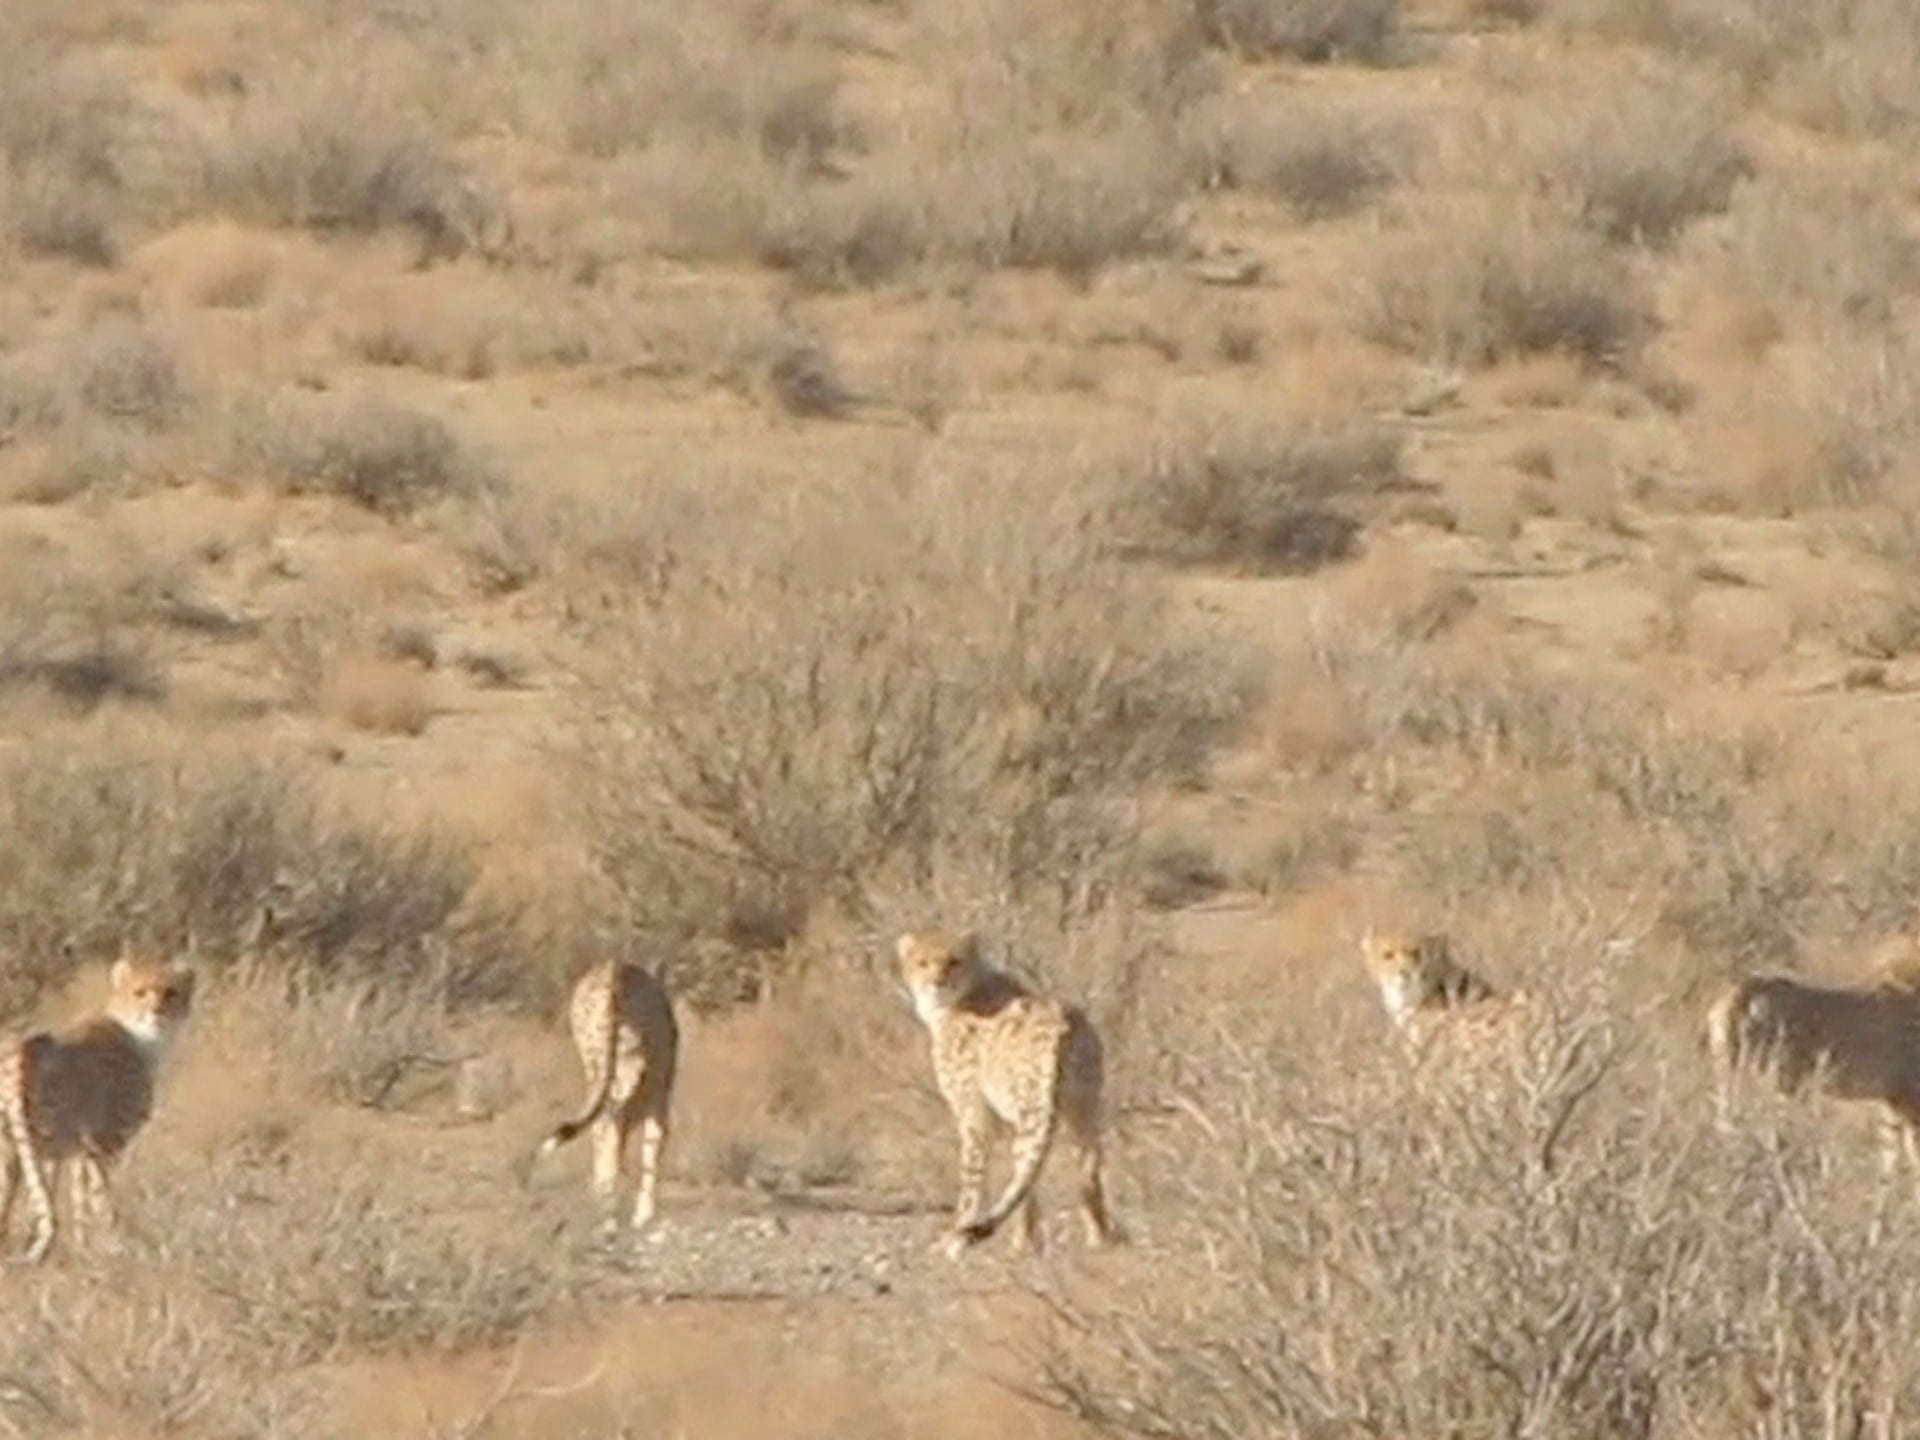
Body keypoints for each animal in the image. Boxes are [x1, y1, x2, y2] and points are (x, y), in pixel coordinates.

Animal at [0, 952, 196, 1267]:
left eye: (171, 992)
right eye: (139, 992)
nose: (157, 1011)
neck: (140, 1037)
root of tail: (20, 1044)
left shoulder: (79, 1149)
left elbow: (77, 1198)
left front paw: (82, 1249)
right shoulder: (102, 1143)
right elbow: (98, 1195)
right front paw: (111, 1246)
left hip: (14, 1143)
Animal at [522, 963, 679, 1236]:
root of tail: (612, 973)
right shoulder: (658, 1096)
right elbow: (651, 1149)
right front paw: (643, 1215)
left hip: (595, 1064)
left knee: (602, 1124)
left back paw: (605, 1204)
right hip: (624, 1066)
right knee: (612, 1123)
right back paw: (610, 1209)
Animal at [894, 936, 1121, 1259]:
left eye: (953, 961)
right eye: (922, 962)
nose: (937, 982)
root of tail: (1059, 1023)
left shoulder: (974, 1115)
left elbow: (973, 1179)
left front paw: (954, 1238)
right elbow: (1021, 1181)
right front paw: (1029, 1241)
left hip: (1033, 1106)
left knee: (1027, 1165)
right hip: (1082, 1107)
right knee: (1086, 1165)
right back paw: (1100, 1238)